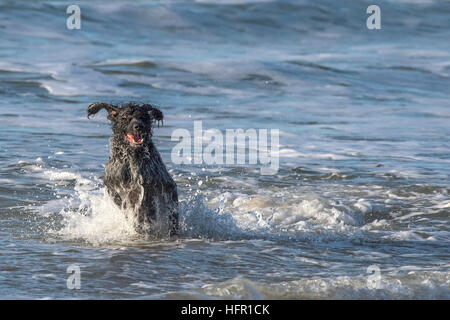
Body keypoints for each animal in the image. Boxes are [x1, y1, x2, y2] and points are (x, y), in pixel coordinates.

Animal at [87, 101, 178, 236]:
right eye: (125, 118)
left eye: (143, 117)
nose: (138, 126)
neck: (133, 157)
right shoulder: (115, 189)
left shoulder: (160, 186)